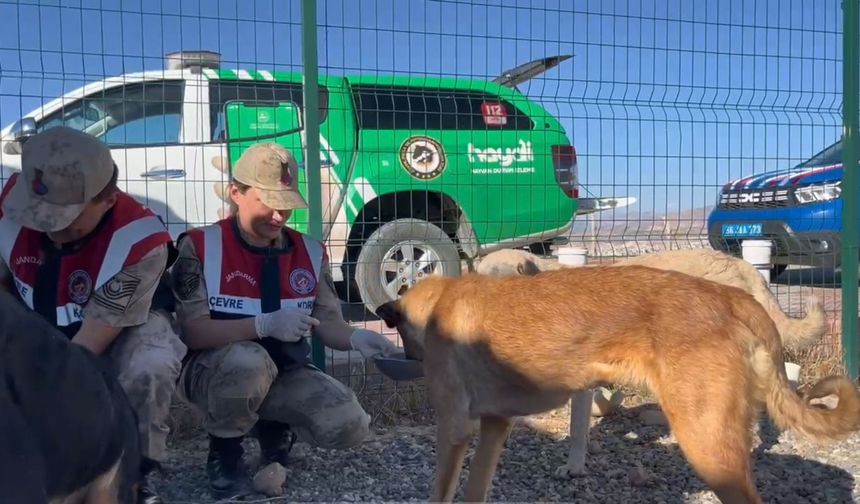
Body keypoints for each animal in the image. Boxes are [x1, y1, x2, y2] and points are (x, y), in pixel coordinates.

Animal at [374, 266, 860, 502]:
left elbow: (440, 493)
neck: (440, 299)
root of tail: (732, 296)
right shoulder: (495, 426)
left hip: (707, 446)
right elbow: (475, 491)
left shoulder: (454, 430)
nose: (408, 356)